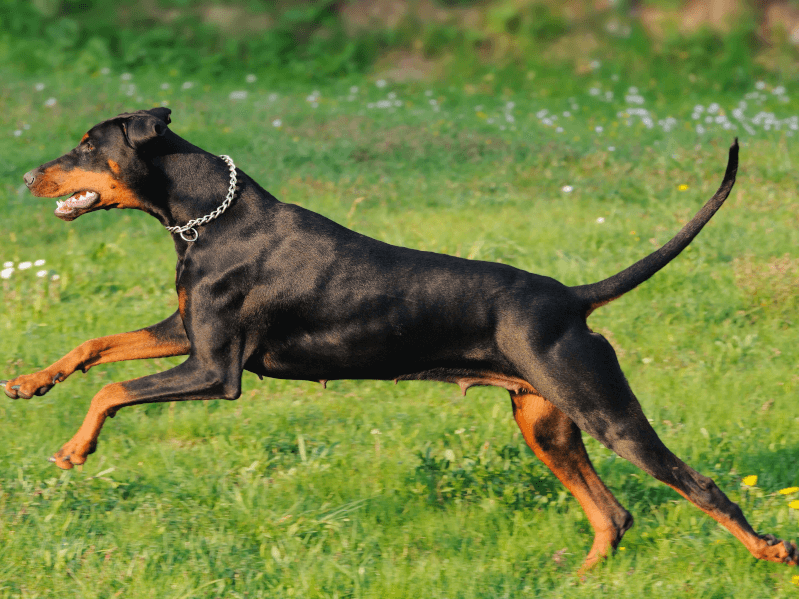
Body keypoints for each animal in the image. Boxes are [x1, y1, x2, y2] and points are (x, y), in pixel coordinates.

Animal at [3, 108, 796, 572]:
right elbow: (98, 345)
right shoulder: (183, 333)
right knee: (613, 514)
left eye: (86, 144)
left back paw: (771, 549)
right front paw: (28, 382)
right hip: (544, 424)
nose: (28, 173)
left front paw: (75, 449)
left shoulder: (215, 370)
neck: (205, 216)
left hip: (605, 411)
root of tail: (570, 298)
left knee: (697, 486)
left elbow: (111, 385)